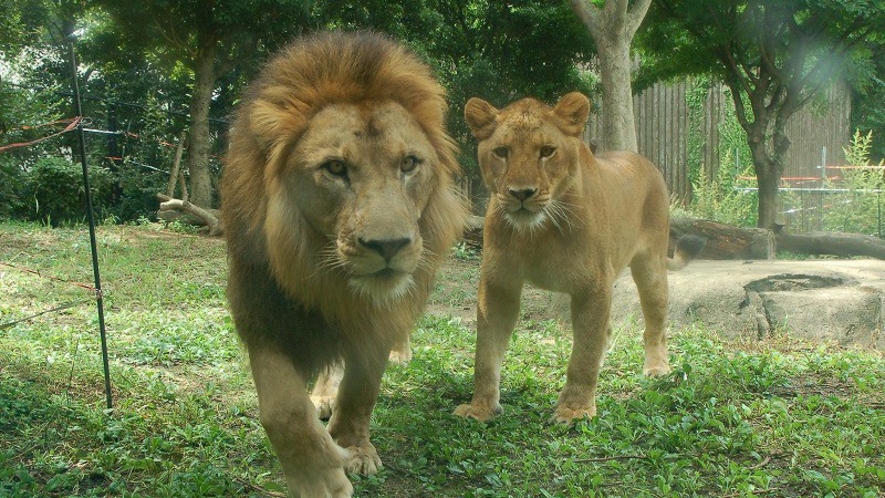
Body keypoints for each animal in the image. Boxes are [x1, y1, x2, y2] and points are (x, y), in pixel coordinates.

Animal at [221, 32, 466, 498]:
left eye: (409, 163)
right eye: (335, 168)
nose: (389, 245)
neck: (330, 280)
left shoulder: (378, 319)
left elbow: (362, 388)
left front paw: (353, 449)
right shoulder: (262, 310)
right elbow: (282, 408)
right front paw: (320, 477)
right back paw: (320, 398)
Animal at [452, 92, 700, 424]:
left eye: (547, 151)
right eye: (501, 152)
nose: (521, 193)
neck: (537, 233)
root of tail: (643, 160)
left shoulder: (592, 285)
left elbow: (584, 353)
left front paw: (575, 409)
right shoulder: (498, 284)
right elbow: (485, 353)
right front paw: (480, 407)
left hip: (652, 267)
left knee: (655, 323)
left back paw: (657, 368)